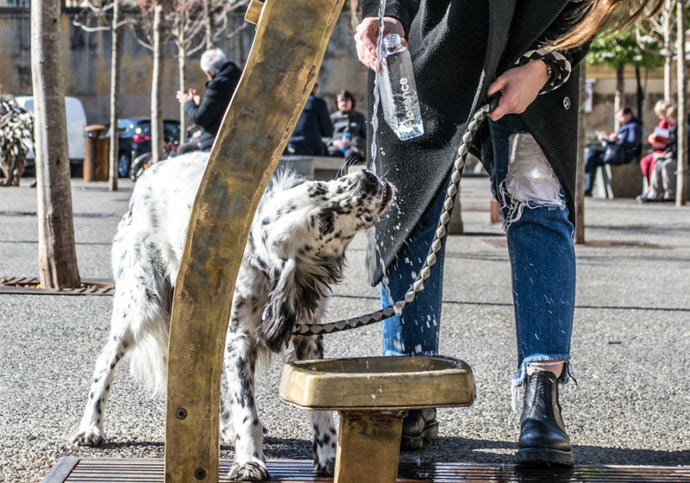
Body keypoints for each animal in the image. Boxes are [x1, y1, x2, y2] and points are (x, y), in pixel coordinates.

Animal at [73, 151, 392, 480]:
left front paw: (329, 457)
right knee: (105, 360)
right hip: (141, 304)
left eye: (318, 186)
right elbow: (247, 410)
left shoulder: (309, 335)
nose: (367, 177)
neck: (264, 273)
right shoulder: (238, 340)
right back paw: (90, 428)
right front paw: (249, 461)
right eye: (324, 223)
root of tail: (149, 172)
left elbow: (318, 400)